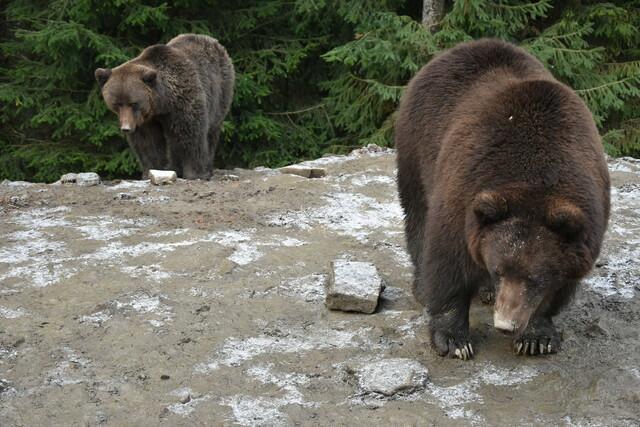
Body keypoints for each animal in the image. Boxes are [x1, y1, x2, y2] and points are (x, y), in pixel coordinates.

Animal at [95, 33, 235, 179]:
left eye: (133, 103)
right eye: (117, 104)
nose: (126, 128)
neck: (161, 104)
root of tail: (212, 40)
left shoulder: (183, 102)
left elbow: (190, 135)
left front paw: (194, 173)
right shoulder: (146, 119)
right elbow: (148, 143)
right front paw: (150, 171)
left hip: (220, 90)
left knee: (211, 130)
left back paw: (207, 168)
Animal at [396, 39, 608, 362]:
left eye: (534, 278)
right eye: (499, 270)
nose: (505, 324)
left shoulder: (585, 220)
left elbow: (559, 288)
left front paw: (536, 336)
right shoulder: (464, 191)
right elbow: (448, 258)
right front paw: (454, 339)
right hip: (418, 144)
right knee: (418, 213)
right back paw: (423, 286)